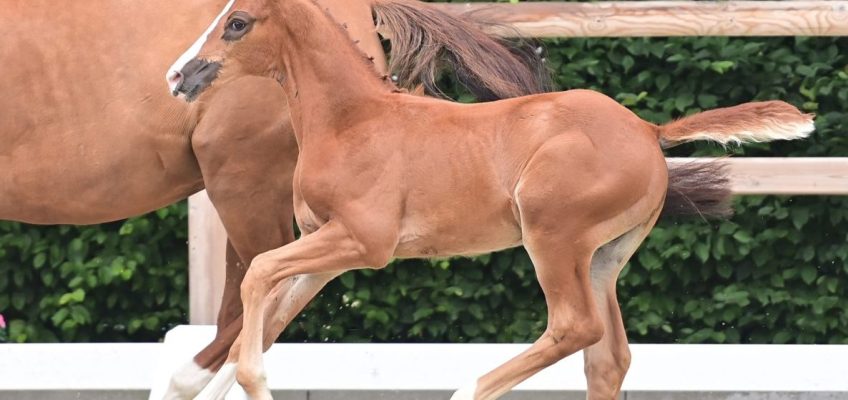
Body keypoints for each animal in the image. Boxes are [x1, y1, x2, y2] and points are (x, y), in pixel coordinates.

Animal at [172, 0, 816, 398]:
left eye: (237, 23)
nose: (178, 77)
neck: (352, 121)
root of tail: (648, 131)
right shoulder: (324, 251)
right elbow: (267, 316)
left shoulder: (363, 242)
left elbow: (258, 274)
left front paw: (255, 382)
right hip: (604, 257)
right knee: (608, 358)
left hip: (552, 236)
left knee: (574, 328)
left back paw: (467, 388)